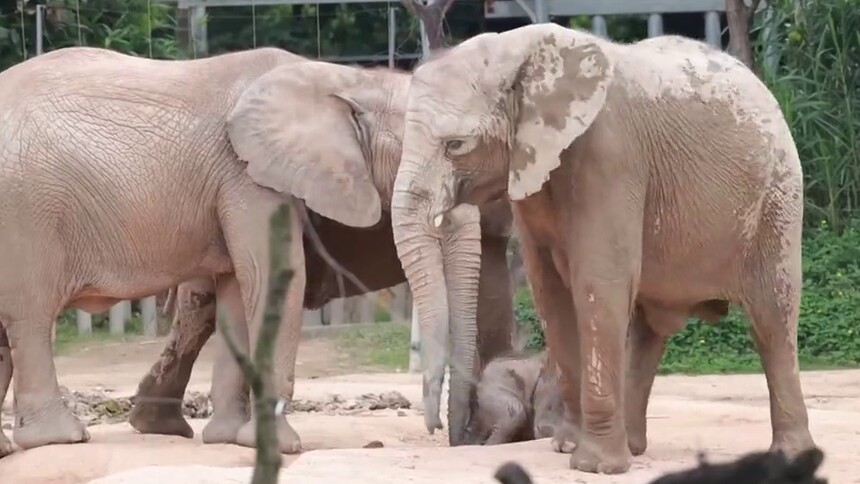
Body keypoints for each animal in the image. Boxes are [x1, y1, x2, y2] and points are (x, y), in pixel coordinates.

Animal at [0, 45, 512, 455]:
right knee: (31, 314)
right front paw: (281, 447)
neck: (347, 80)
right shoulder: (248, 176)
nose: (446, 434)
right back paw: (60, 437)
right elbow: (275, 278)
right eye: (442, 150)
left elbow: (235, 290)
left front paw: (228, 438)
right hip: (26, 214)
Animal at [390, 23, 816, 474]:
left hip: (779, 197)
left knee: (772, 317)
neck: (520, 50)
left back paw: (790, 455)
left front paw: (594, 467)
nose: (439, 431)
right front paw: (567, 448)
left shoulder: (610, 154)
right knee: (650, 329)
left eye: (455, 145)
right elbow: (551, 292)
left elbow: (599, 281)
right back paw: (633, 446)